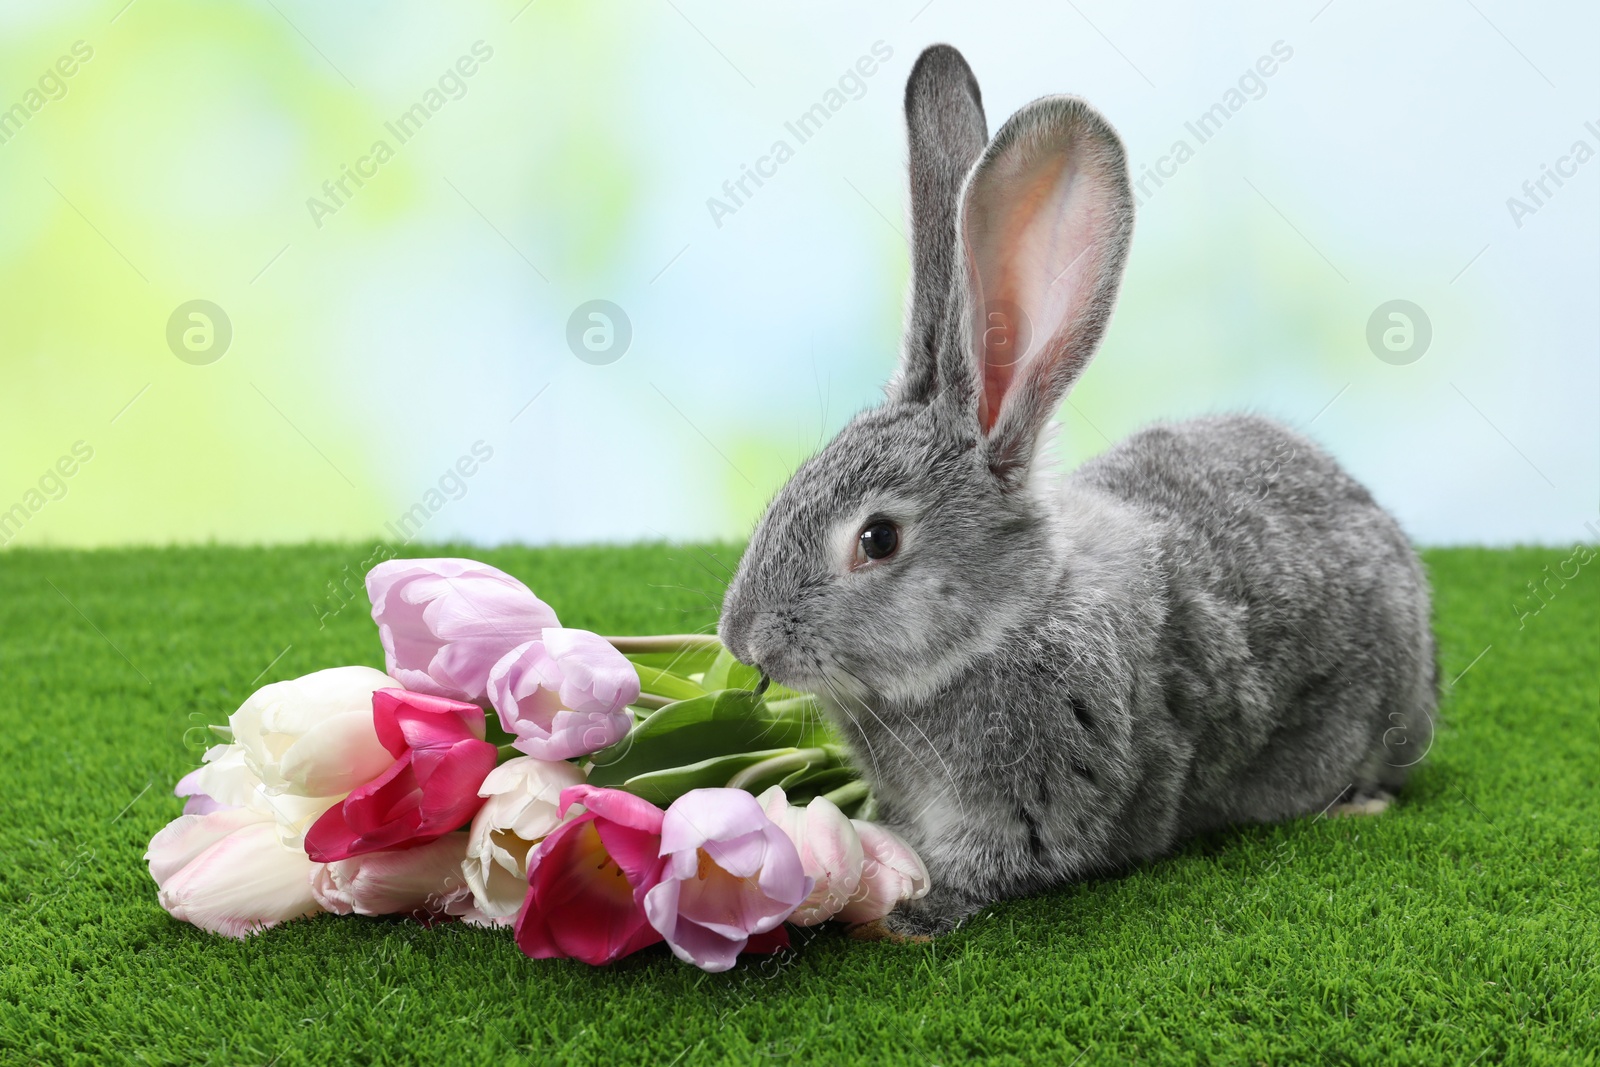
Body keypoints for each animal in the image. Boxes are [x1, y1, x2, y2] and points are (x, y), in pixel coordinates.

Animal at [720, 41, 1433, 934]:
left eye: (877, 538)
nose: (742, 639)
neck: (1005, 621)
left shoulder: (1043, 795)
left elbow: (995, 868)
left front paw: (908, 915)